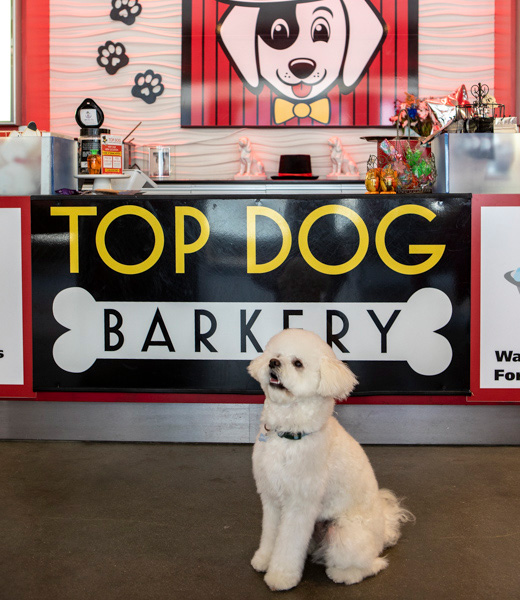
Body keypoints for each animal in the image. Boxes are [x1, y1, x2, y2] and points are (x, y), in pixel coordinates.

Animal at [248, 330, 414, 592]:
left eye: (298, 363)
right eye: (276, 355)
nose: (273, 363)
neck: (289, 434)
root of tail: (384, 531)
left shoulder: (300, 505)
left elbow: (288, 544)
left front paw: (281, 577)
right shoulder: (272, 499)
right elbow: (271, 534)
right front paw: (264, 560)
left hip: (344, 534)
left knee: (372, 564)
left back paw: (344, 574)